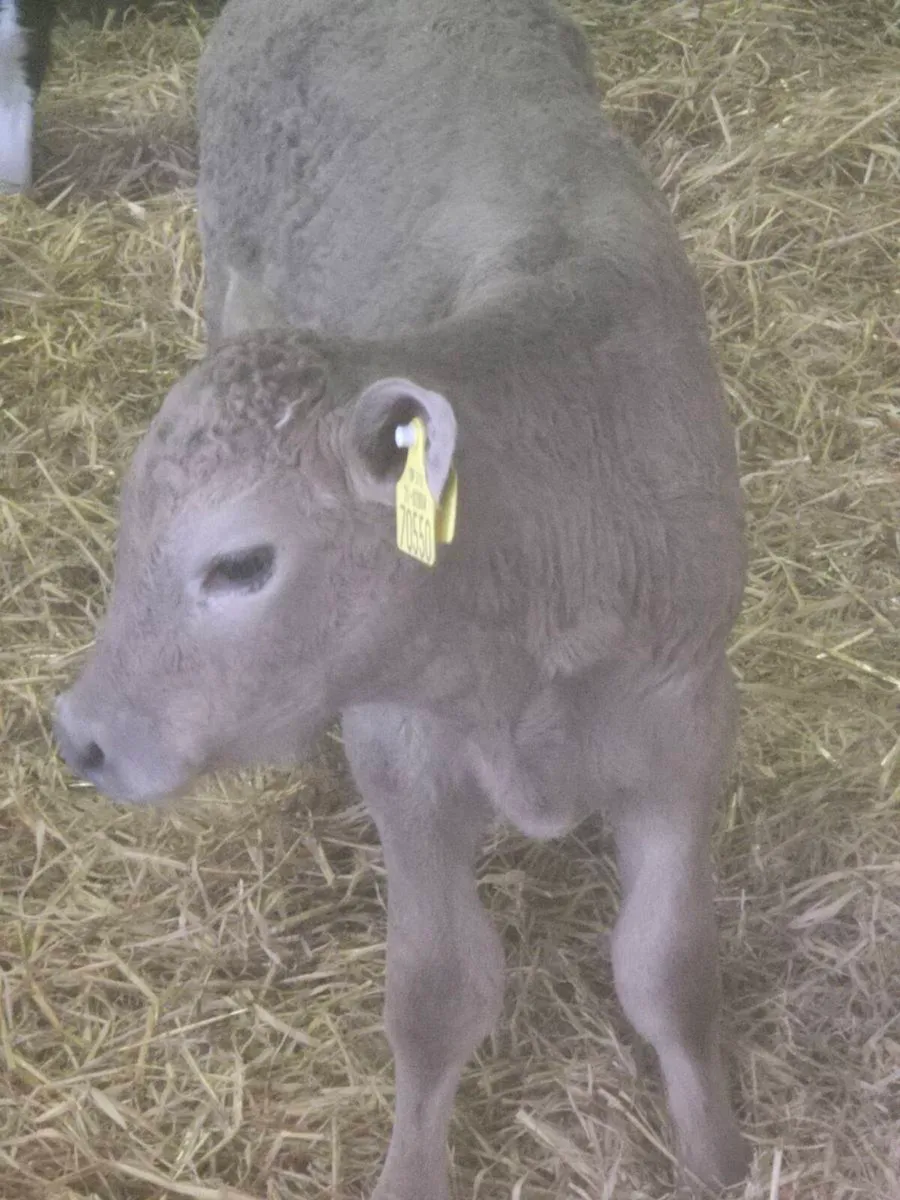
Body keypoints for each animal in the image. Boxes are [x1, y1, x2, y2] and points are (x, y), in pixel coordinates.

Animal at [54, 0, 750, 1193]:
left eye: (239, 563)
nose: (80, 736)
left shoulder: (680, 727)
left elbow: (670, 970)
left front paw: (712, 1158)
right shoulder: (402, 750)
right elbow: (434, 996)